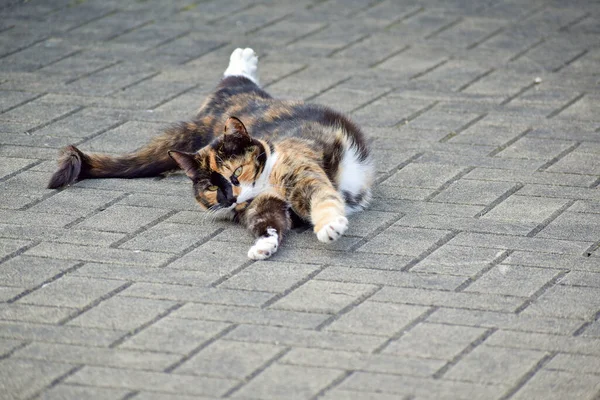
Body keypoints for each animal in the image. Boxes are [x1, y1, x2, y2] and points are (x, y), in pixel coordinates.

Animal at [49, 48, 372, 260]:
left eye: (236, 173)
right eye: (211, 187)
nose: (229, 199)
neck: (266, 179)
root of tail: (207, 120)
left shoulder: (300, 170)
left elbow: (321, 196)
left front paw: (329, 225)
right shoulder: (262, 206)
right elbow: (268, 223)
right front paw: (263, 246)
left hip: (242, 101)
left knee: (235, 85)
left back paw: (242, 62)